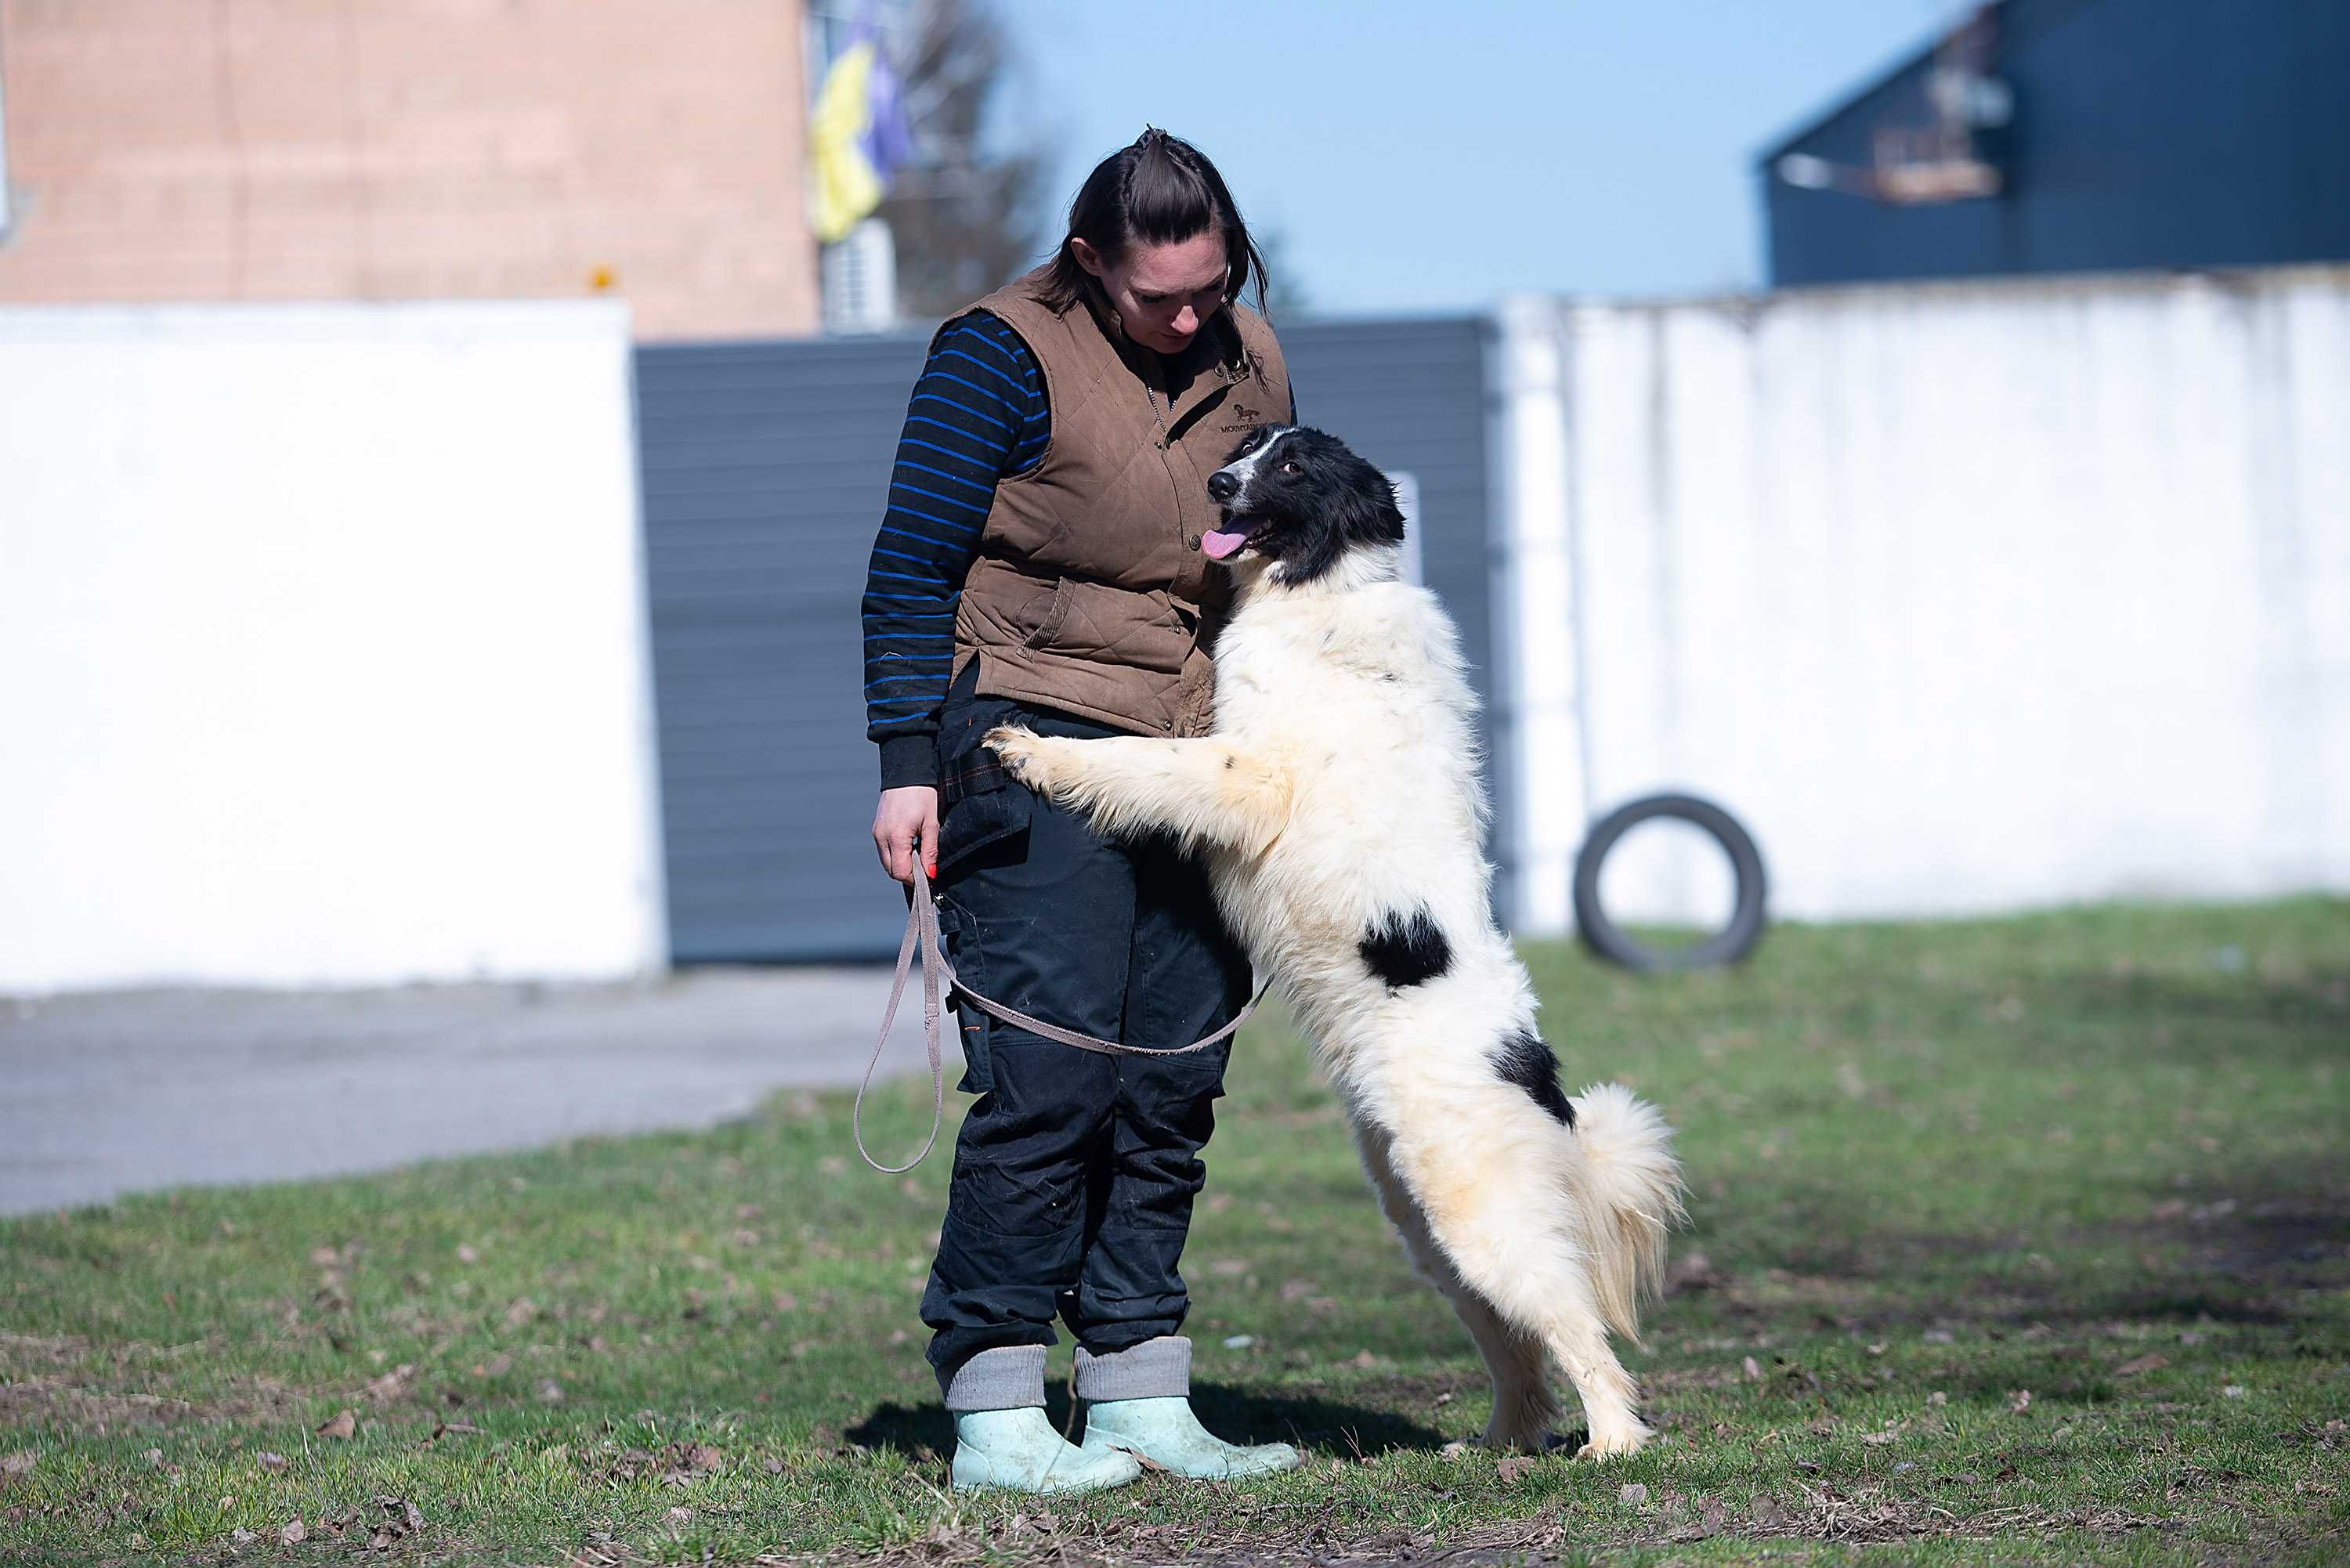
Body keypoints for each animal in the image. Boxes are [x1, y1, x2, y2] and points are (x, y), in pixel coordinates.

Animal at [992, 421, 1692, 1457]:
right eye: (1249, 445)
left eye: (1291, 466)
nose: (1216, 480)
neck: (1326, 585)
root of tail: (1541, 1080)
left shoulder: (1245, 772)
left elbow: (1137, 760)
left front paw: (1038, 753)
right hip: (1429, 1228)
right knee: (1519, 1351)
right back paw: (1497, 1445)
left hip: (1480, 1218)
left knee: (1579, 1333)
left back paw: (1611, 1445)